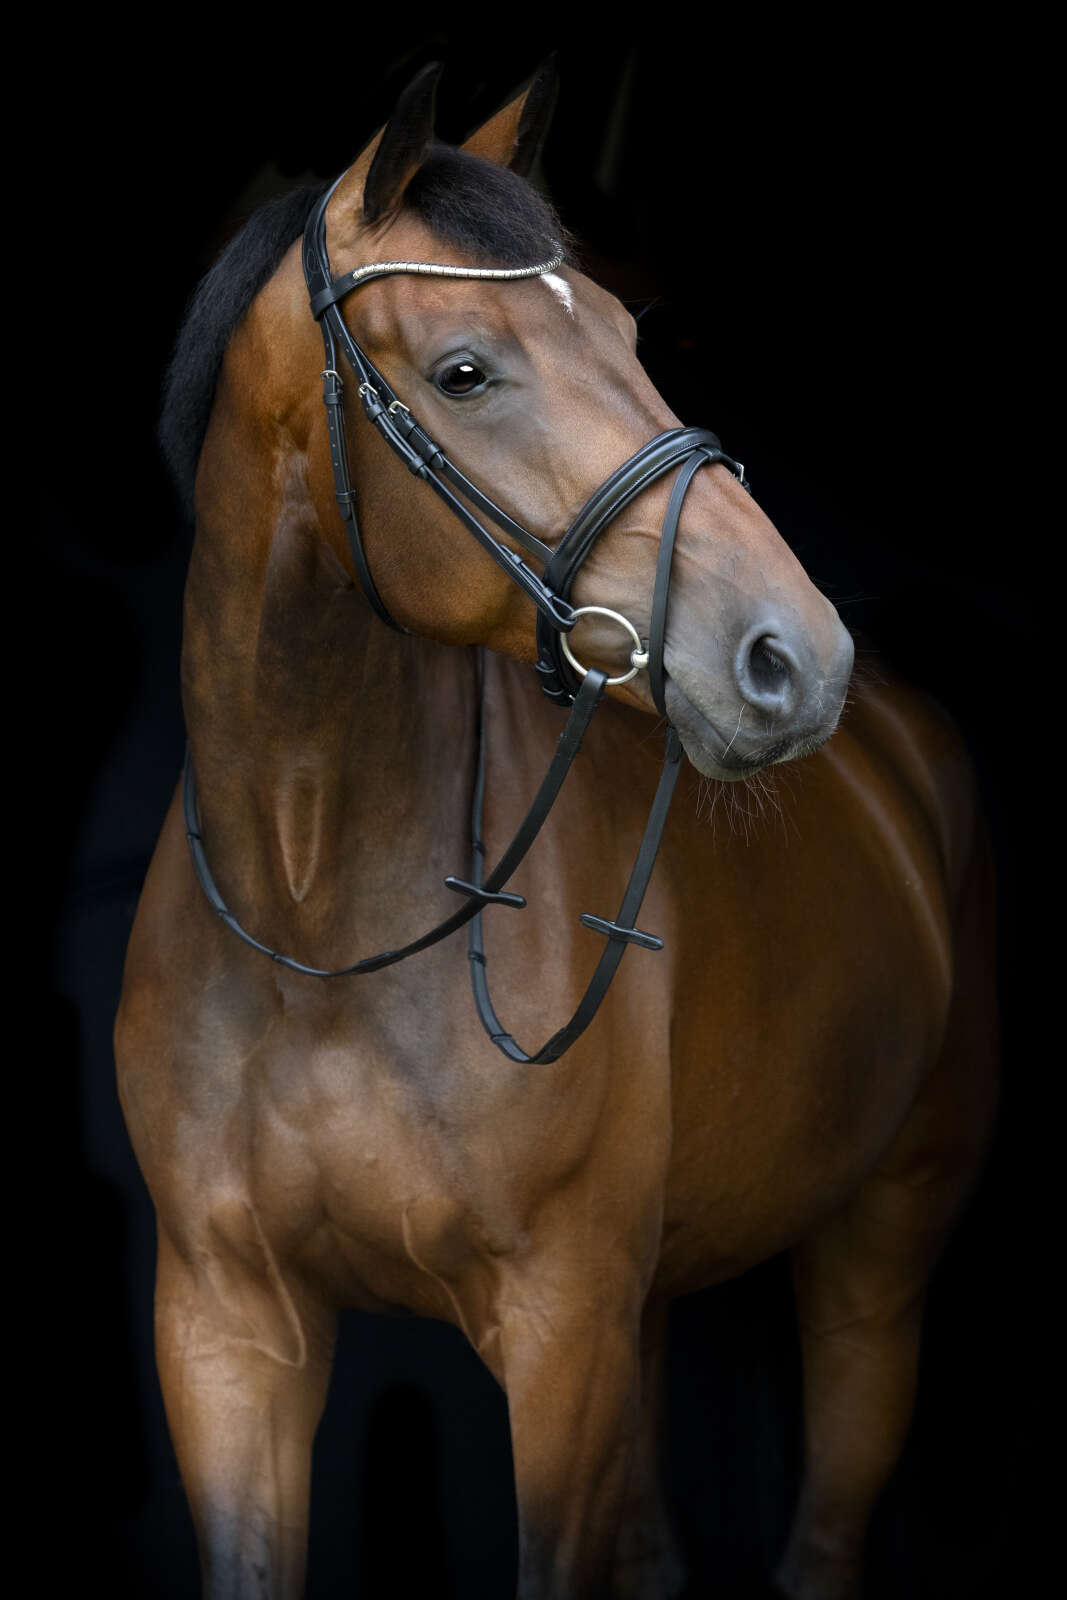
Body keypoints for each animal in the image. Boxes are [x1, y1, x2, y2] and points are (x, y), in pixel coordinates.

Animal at [115, 61, 998, 1599]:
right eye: (464, 371)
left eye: (632, 336)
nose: (792, 654)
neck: (313, 919)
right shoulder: (227, 1329)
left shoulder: (559, 1332)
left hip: (873, 1253)